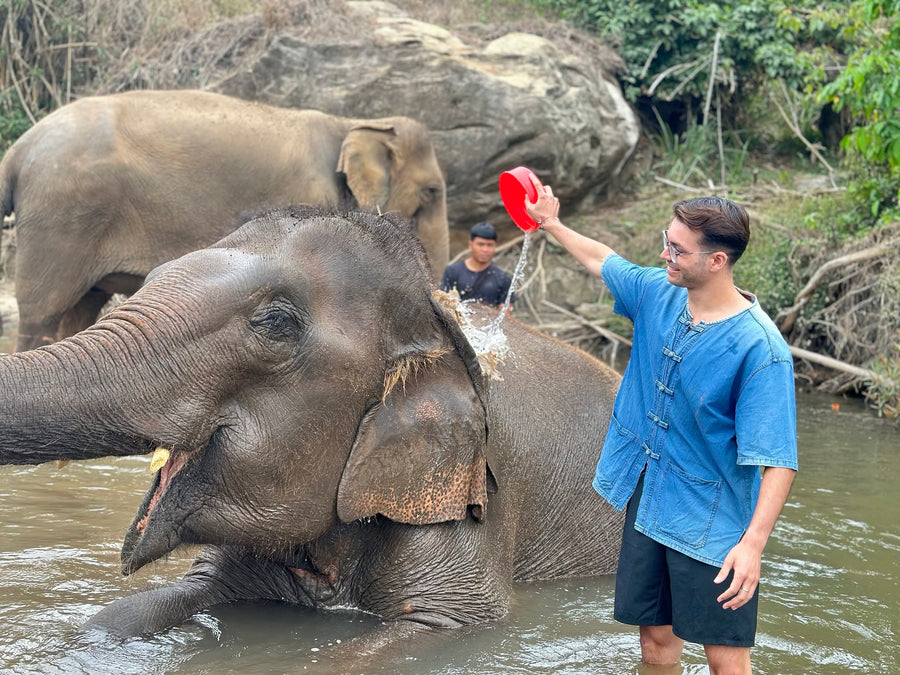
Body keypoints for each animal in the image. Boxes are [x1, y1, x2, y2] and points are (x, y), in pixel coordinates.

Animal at [0, 89, 449, 352]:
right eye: (431, 192)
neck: (347, 124)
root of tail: (19, 148)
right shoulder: (306, 196)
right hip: (63, 216)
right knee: (43, 313)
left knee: (79, 312)